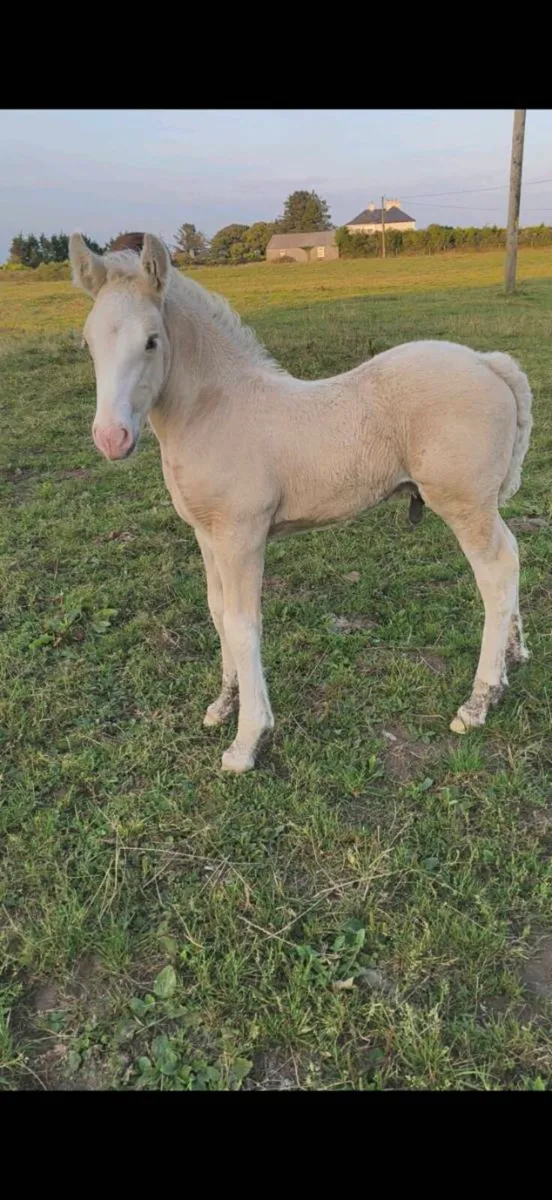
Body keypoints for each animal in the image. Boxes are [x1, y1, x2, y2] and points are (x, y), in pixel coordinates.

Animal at [69, 232, 533, 774]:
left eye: (151, 340)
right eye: (88, 342)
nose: (111, 438)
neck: (214, 410)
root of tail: (488, 363)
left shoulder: (242, 535)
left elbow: (243, 623)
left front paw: (248, 740)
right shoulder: (207, 534)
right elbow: (217, 610)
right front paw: (223, 704)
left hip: (464, 504)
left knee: (496, 573)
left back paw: (479, 701)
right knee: (513, 556)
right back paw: (514, 658)